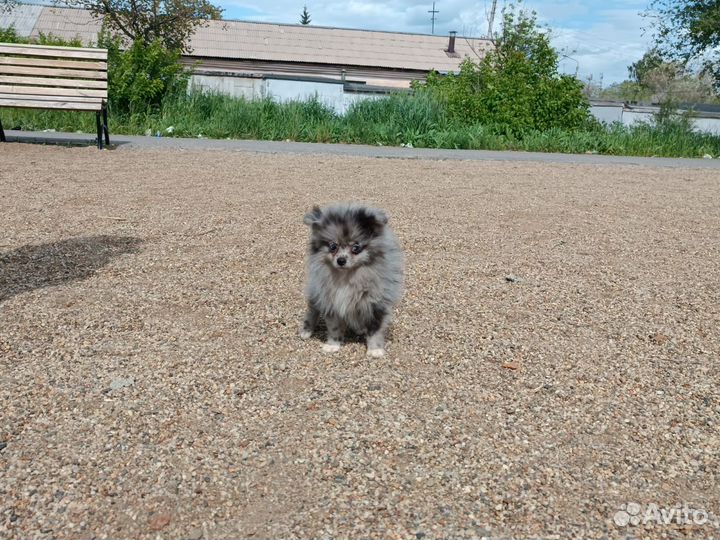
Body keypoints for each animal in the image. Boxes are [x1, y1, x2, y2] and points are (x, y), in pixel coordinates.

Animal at [300, 204, 404, 358]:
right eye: (333, 246)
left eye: (356, 248)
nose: (341, 260)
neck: (347, 276)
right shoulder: (332, 302)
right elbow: (334, 327)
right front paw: (333, 345)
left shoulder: (376, 305)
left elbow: (375, 330)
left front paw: (375, 350)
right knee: (312, 311)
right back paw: (306, 331)